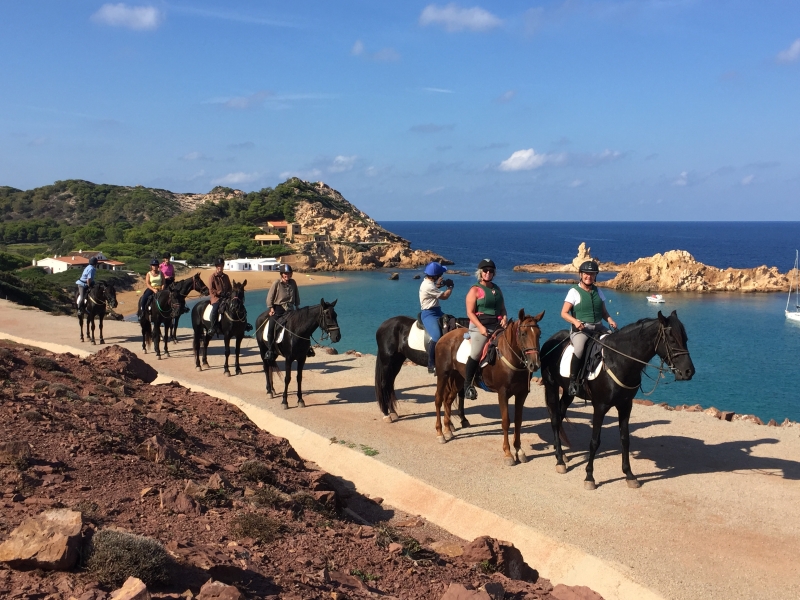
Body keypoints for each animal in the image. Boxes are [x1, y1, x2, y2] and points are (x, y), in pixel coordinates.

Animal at [434, 310, 548, 464]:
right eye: (523, 334)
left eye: (539, 334)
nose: (534, 364)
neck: (509, 356)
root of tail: (445, 337)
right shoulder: (503, 393)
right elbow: (506, 422)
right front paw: (508, 454)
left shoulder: (521, 394)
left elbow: (518, 421)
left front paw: (519, 450)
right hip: (443, 375)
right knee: (438, 400)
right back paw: (440, 433)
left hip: (458, 378)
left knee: (448, 400)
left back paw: (447, 429)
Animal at [540, 312, 696, 490]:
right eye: (672, 339)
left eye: (685, 338)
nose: (688, 371)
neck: (619, 361)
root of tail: (551, 339)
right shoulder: (600, 407)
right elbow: (594, 441)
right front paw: (589, 476)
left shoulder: (625, 406)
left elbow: (625, 440)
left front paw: (629, 474)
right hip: (551, 385)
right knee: (554, 418)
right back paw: (559, 459)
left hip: (568, 392)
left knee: (559, 415)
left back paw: (560, 452)